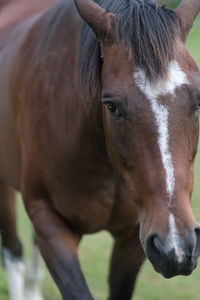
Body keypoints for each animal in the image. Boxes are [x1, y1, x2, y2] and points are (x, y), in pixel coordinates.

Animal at [0, 0, 200, 298]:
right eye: (112, 105)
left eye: (198, 101)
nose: (175, 246)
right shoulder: (49, 220)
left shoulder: (134, 236)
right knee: (13, 251)